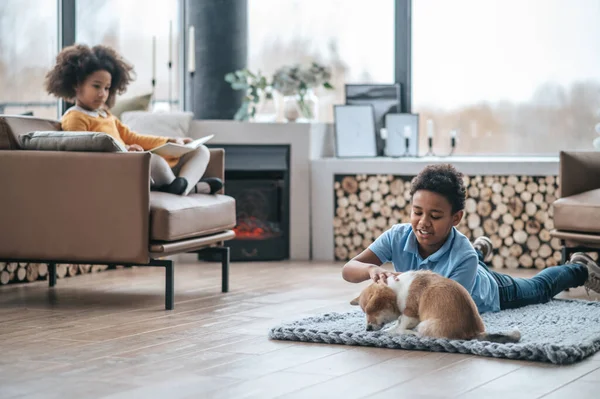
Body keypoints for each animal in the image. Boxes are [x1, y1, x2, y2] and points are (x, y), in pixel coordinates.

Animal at [352, 268, 520, 344]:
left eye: (370, 312)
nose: (367, 329)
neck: (396, 289)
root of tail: (473, 333)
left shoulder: (410, 314)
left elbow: (400, 326)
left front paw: (391, 331)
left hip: (424, 325)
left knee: (421, 334)